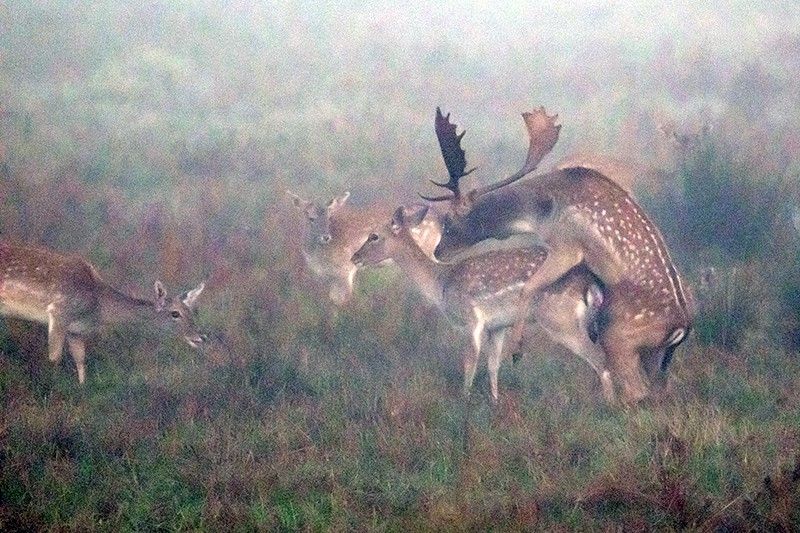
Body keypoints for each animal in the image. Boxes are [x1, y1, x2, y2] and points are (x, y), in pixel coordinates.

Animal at [0, 240, 206, 382]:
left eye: (193, 311)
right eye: (175, 313)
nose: (201, 336)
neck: (98, 308)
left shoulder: (76, 330)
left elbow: (81, 361)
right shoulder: (59, 311)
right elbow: (54, 358)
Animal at [350, 202, 612, 402]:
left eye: (373, 236)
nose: (355, 257)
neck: (441, 284)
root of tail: (590, 284)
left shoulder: (472, 317)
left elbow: (470, 361)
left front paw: (464, 401)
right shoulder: (497, 326)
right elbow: (493, 364)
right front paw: (495, 401)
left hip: (558, 317)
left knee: (599, 357)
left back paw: (610, 405)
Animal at [422, 106, 692, 404]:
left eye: (448, 221)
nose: (437, 250)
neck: (538, 214)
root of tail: (681, 329)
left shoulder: (567, 245)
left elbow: (529, 286)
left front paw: (517, 350)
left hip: (619, 337)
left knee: (636, 388)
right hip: (656, 357)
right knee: (658, 389)